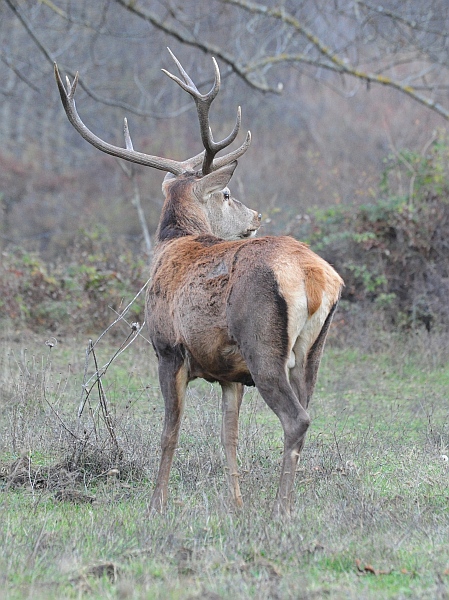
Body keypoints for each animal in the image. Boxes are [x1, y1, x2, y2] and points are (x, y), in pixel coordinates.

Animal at [56, 49, 344, 516]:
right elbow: (229, 438)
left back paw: (280, 510)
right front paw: (236, 504)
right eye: (227, 196)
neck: (173, 243)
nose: (257, 215)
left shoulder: (168, 348)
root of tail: (313, 276)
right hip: (312, 351)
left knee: (296, 418)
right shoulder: (230, 374)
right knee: (307, 410)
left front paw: (156, 504)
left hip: (263, 343)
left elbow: (169, 434)